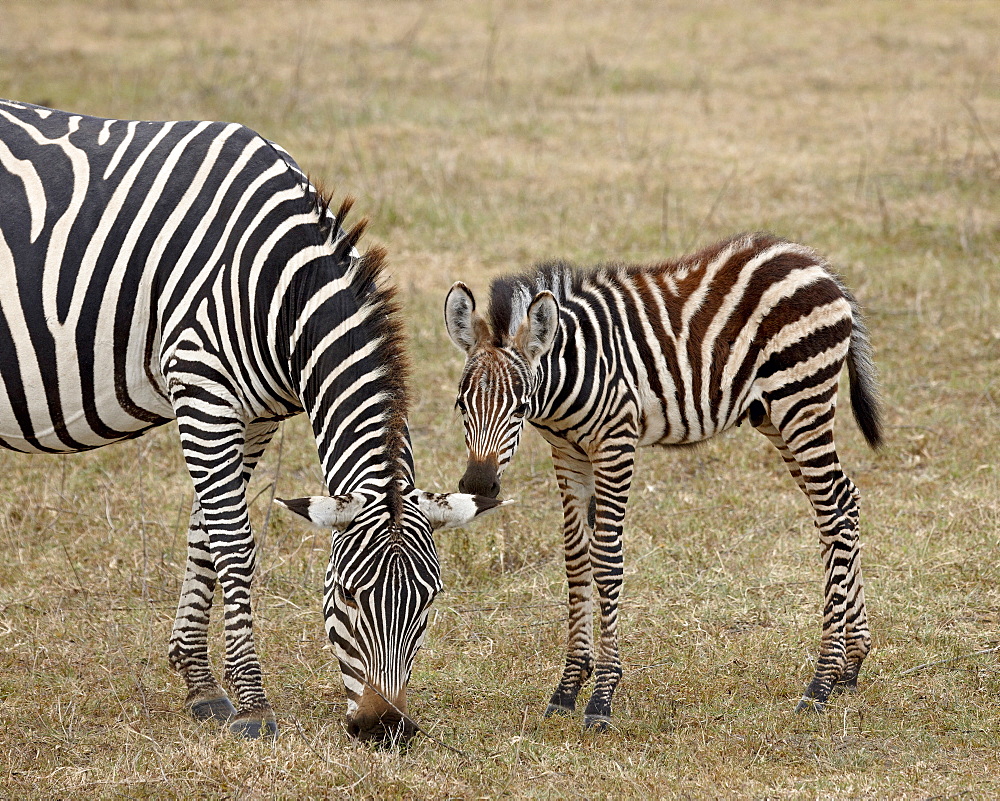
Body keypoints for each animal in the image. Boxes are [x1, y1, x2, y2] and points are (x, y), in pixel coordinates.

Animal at [0, 101, 504, 744]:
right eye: (344, 596)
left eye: (430, 601)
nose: (384, 727)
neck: (280, 290)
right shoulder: (202, 388)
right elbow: (234, 545)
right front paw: (253, 702)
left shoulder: (254, 415)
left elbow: (205, 538)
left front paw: (200, 683)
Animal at [446, 231, 884, 732]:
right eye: (461, 405)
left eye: (519, 406)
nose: (479, 484)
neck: (571, 371)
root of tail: (816, 263)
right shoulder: (568, 454)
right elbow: (576, 562)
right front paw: (567, 689)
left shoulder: (616, 443)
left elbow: (606, 561)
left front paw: (601, 698)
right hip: (774, 415)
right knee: (843, 502)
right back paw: (851, 665)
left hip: (801, 401)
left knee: (833, 514)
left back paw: (821, 683)